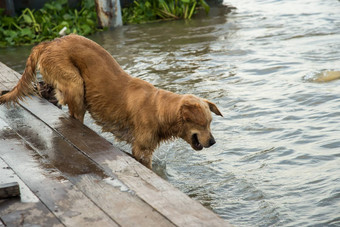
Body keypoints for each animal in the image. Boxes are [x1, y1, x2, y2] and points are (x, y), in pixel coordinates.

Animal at [0, 34, 223, 168]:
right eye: (202, 123)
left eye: (211, 123)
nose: (213, 142)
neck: (159, 109)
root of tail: (50, 42)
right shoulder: (141, 149)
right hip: (75, 84)